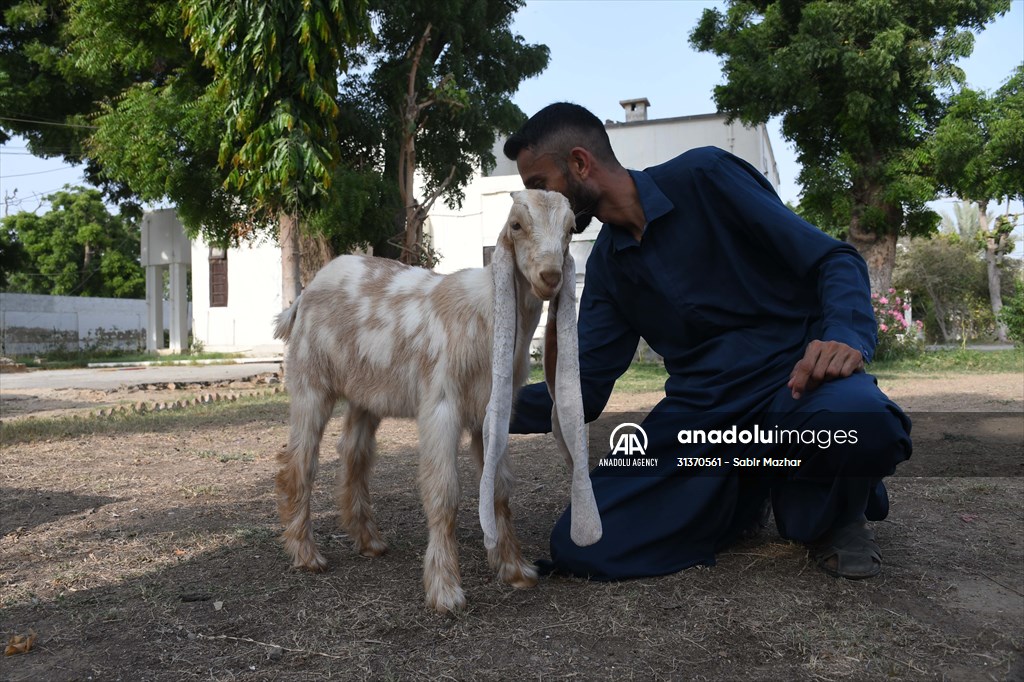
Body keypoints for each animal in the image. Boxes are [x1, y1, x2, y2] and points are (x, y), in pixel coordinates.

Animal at [276, 188, 602, 614]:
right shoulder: (441, 402)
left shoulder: (492, 408)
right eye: (516, 225)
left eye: (570, 228)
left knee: (354, 454)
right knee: (301, 461)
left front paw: (515, 569)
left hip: (367, 393)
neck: (483, 314)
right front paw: (446, 590)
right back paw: (306, 553)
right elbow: (443, 491)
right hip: (310, 382)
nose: (551, 277)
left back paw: (369, 541)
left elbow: (499, 487)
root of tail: (303, 297)